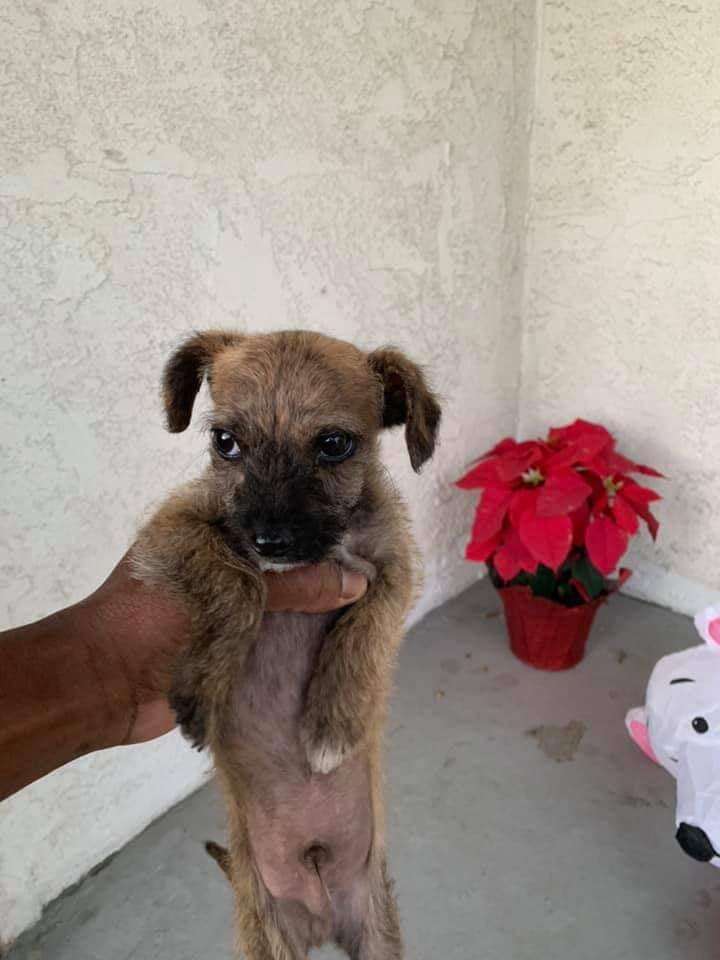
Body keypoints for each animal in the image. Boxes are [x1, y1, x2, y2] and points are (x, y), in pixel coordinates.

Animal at [132, 332, 442, 960]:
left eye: (334, 445)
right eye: (225, 443)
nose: (268, 540)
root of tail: (319, 912)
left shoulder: (396, 569)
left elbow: (366, 630)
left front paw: (332, 726)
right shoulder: (172, 530)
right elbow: (238, 580)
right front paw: (206, 682)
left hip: (377, 930)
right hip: (264, 935)